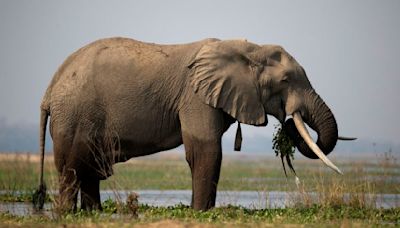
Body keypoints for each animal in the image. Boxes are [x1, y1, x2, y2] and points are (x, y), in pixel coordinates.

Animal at [34, 36, 354, 211]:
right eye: (286, 80)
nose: (288, 123)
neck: (249, 48)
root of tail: (49, 89)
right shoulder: (195, 96)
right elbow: (205, 150)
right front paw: (201, 212)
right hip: (75, 115)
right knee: (73, 168)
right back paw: (68, 214)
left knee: (89, 169)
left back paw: (94, 214)